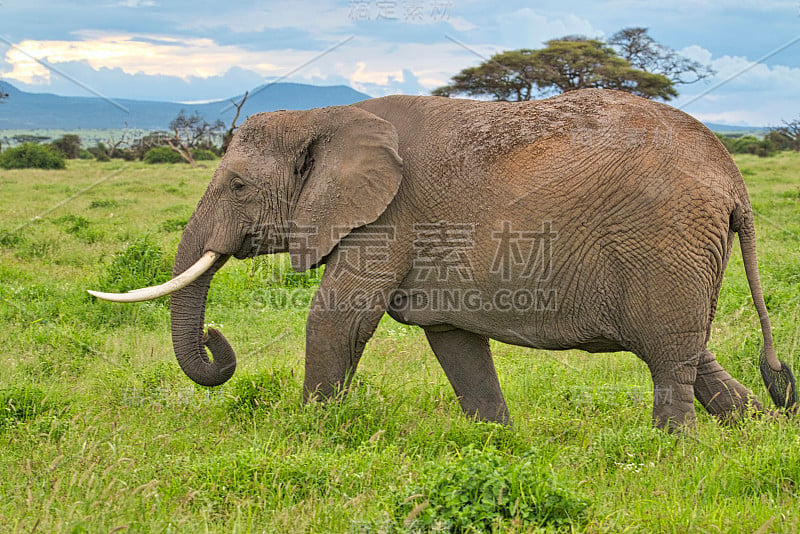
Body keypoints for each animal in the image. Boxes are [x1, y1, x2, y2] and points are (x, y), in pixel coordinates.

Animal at [92, 87, 792, 432]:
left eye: (236, 185)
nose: (217, 340)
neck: (326, 119)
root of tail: (733, 179)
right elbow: (453, 340)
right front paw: (495, 441)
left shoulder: (387, 218)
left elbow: (338, 319)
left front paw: (310, 435)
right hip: (681, 252)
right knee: (691, 353)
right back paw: (764, 435)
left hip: (665, 240)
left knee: (669, 358)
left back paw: (670, 450)